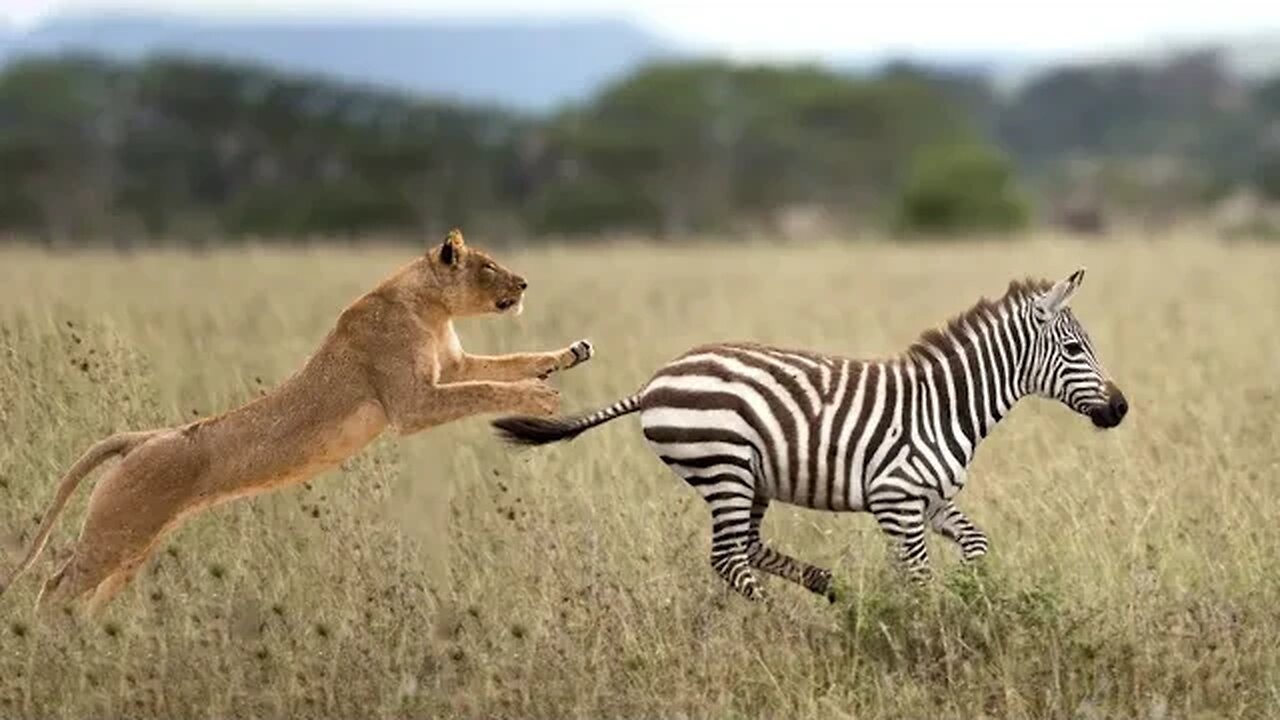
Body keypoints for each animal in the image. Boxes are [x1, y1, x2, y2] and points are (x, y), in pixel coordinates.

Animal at [491, 267, 1131, 599]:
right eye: (1074, 351)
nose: (1121, 409)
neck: (947, 406)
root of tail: (653, 383)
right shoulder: (896, 499)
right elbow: (919, 576)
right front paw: (927, 625)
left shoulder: (930, 499)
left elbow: (976, 545)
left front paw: (970, 600)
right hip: (724, 467)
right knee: (727, 558)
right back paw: (772, 617)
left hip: (751, 479)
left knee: (746, 547)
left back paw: (829, 586)